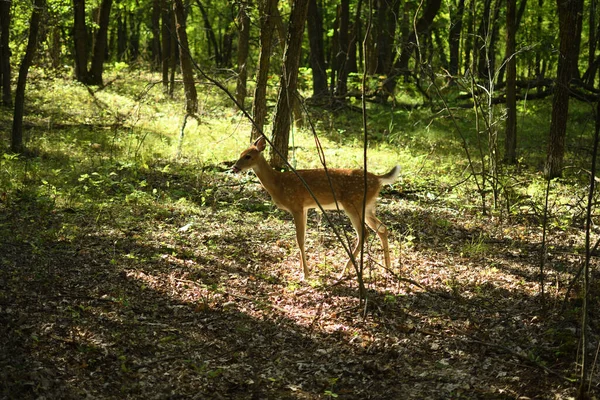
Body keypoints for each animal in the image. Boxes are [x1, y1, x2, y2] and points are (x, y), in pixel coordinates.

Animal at [232, 137, 400, 278]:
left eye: (248, 156)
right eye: (240, 153)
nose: (234, 167)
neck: (278, 183)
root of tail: (378, 179)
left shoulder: (296, 205)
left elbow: (299, 239)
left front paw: (305, 274)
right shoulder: (305, 207)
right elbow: (303, 238)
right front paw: (302, 268)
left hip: (353, 204)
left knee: (364, 233)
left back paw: (344, 270)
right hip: (368, 206)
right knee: (382, 228)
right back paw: (388, 267)